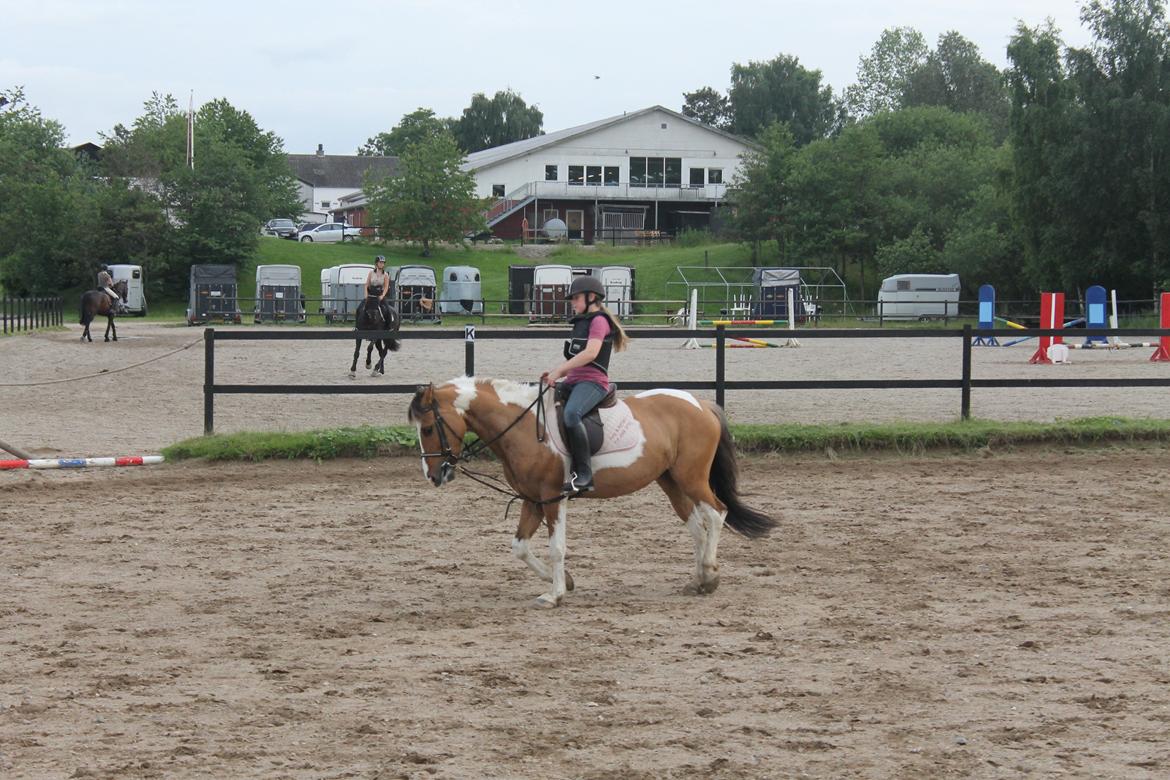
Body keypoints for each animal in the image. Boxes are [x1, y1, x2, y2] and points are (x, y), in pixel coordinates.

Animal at [407, 378, 781, 608]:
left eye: (427, 429)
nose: (433, 475)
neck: (526, 427)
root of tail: (701, 403)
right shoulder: (533, 500)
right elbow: (519, 548)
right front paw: (563, 582)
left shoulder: (552, 498)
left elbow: (557, 548)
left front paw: (555, 594)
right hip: (670, 481)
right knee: (696, 526)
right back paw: (699, 580)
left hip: (691, 477)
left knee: (716, 514)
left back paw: (710, 573)